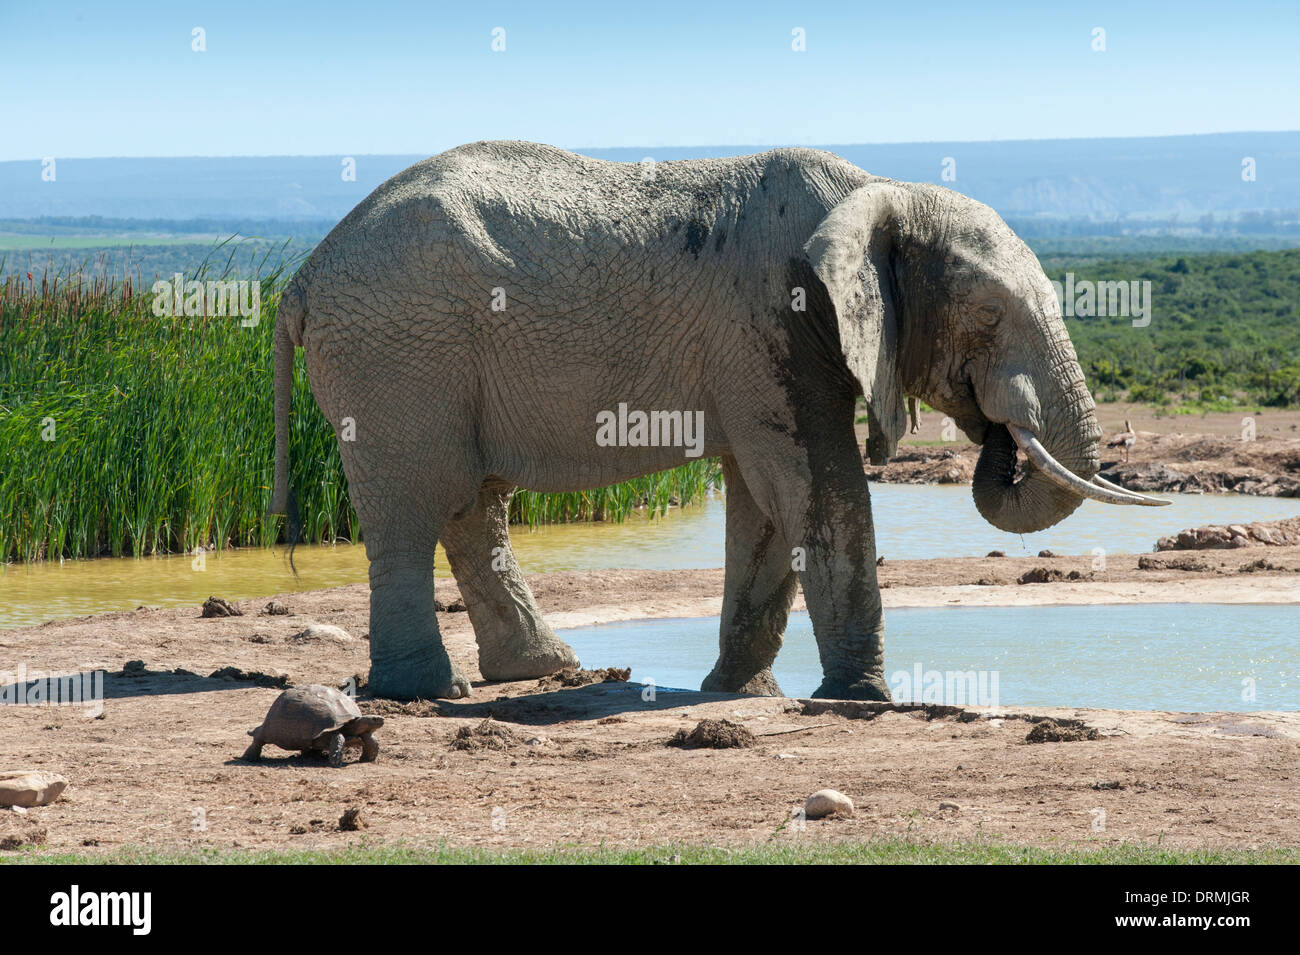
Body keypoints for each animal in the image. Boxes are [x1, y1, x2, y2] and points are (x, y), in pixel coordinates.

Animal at [269, 138, 1164, 696]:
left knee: (471, 505)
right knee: (415, 506)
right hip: (397, 355)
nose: (999, 438)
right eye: (987, 314)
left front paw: (741, 692)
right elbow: (813, 484)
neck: (877, 189)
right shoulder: (773, 320)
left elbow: (767, 503)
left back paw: (538, 672)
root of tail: (305, 273)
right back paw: (428, 690)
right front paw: (864, 697)